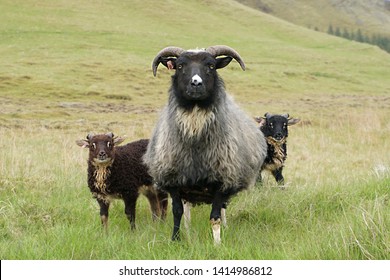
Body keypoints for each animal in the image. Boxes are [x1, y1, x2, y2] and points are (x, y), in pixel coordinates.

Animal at [143, 44, 268, 244]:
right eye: (179, 66)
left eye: (211, 66)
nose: (196, 84)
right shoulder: (173, 179)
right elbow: (177, 212)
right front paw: (175, 239)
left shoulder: (223, 180)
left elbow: (215, 216)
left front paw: (217, 243)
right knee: (186, 210)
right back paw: (188, 230)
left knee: (223, 209)